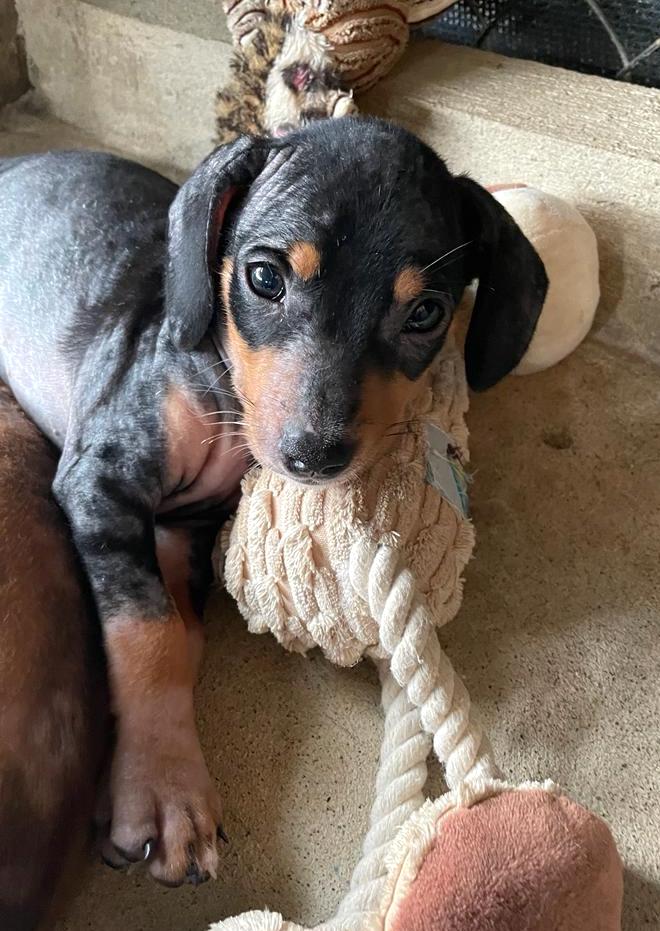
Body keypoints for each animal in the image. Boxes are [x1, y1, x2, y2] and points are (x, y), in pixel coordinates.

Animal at [0, 116, 548, 888]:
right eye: (264, 277)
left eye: (426, 313)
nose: (315, 455)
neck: (223, 392)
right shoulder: (100, 480)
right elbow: (149, 629)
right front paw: (164, 791)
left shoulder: (189, 527)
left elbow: (183, 636)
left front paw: (136, 776)